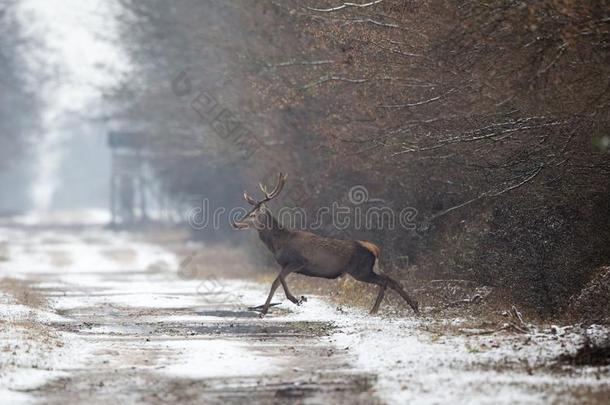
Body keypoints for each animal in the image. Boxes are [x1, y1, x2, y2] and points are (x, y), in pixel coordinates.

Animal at [229, 172, 418, 318]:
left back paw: (375, 310)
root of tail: (375, 249)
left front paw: (294, 300)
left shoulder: (298, 261)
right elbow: (277, 281)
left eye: (253, 215)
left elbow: (277, 280)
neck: (279, 244)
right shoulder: (288, 265)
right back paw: (415, 306)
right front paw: (268, 309)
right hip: (370, 268)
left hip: (360, 270)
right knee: (391, 279)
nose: (236, 223)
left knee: (385, 281)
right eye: (248, 211)